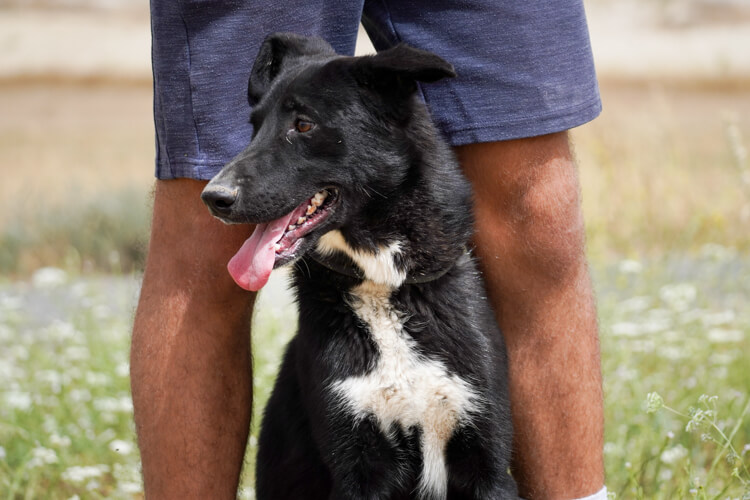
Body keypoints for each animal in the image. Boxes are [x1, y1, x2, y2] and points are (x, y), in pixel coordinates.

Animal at [201, 33, 516, 498]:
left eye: (304, 125)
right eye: (254, 126)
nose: (213, 197)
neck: (384, 287)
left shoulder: (487, 463)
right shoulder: (357, 464)